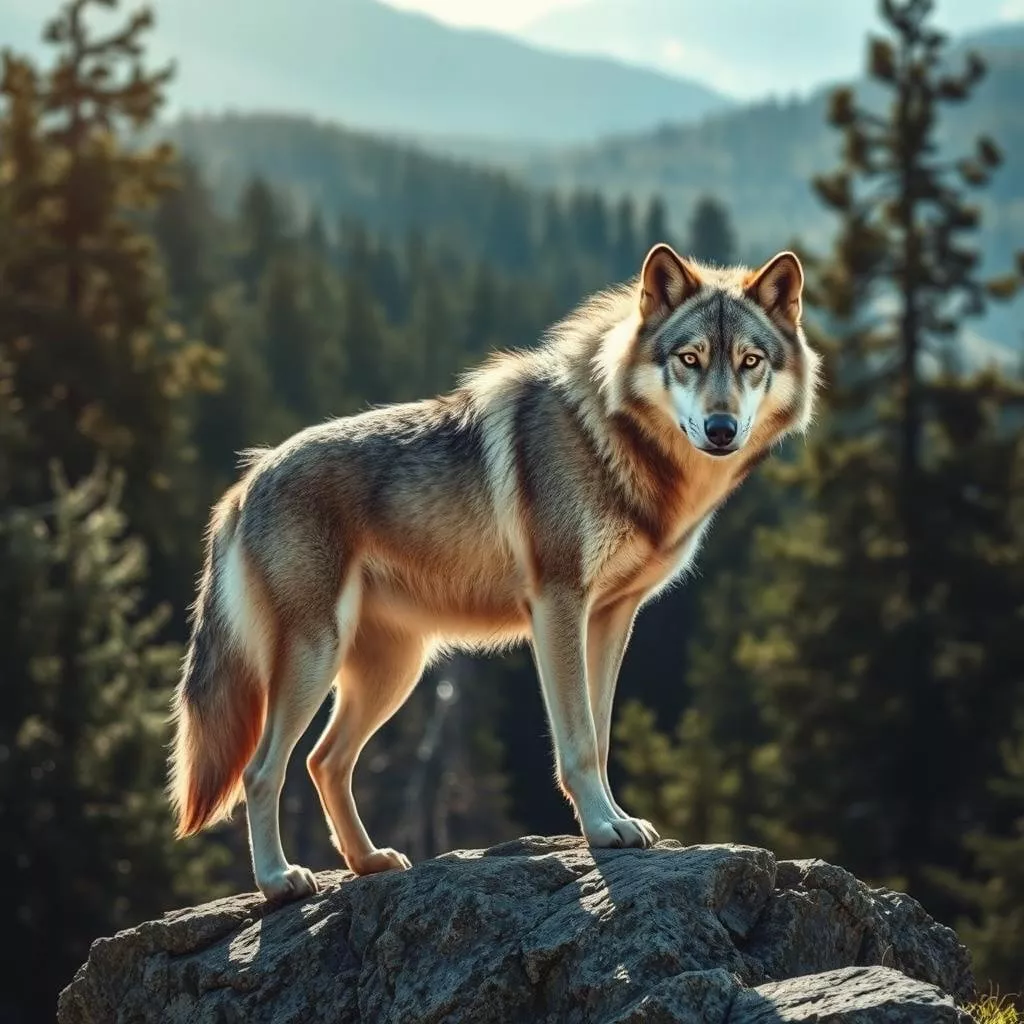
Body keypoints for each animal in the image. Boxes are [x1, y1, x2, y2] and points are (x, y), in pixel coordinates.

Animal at [169, 243, 820, 901]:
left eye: (749, 362)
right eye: (691, 359)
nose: (721, 429)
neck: (617, 442)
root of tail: (247, 482)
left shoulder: (613, 616)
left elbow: (602, 734)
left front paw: (616, 820)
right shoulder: (559, 605)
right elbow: (578, 740)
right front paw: (601, 829)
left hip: (393, 671)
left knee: (323, 761)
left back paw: (368, 860)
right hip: (316, 656)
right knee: (262, 769)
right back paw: (279, 880)